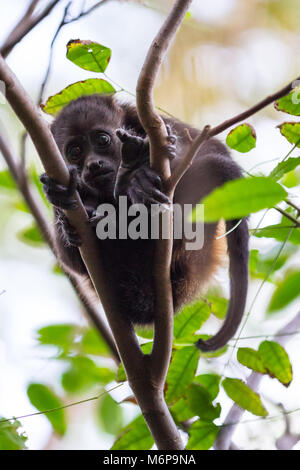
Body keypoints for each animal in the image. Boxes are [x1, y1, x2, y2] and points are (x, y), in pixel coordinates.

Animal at [41, 95, 250, 350]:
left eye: (102, 139)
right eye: (75, 152)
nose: (93, 164)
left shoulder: (145, 119)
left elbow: (210, 149)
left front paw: (141, 173)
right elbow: (72, 263)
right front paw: (58, 196)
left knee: (212, 165)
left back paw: (132, 176)